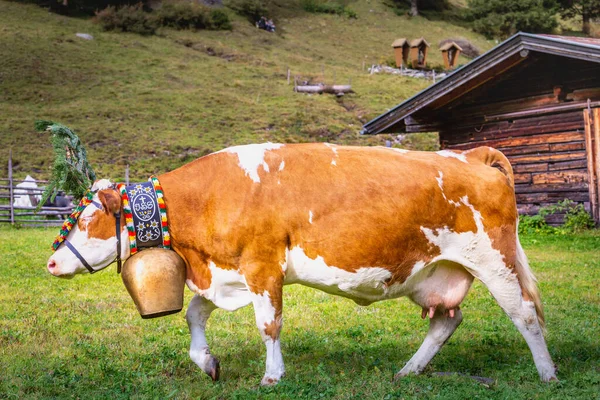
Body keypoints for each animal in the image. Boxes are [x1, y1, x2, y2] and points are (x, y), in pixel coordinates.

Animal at [47, 143, 556, 384]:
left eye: (87, 218)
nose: (51, 263)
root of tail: (469, 154)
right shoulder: (227, 273)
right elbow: (193, 313)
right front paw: (207, 362)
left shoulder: (262, 266)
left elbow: (269, 325)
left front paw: (272, 375)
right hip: (432, 271)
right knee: (446, 320)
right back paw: (409, 371)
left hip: (494, 259)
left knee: (526, 313)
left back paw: (548, 373)